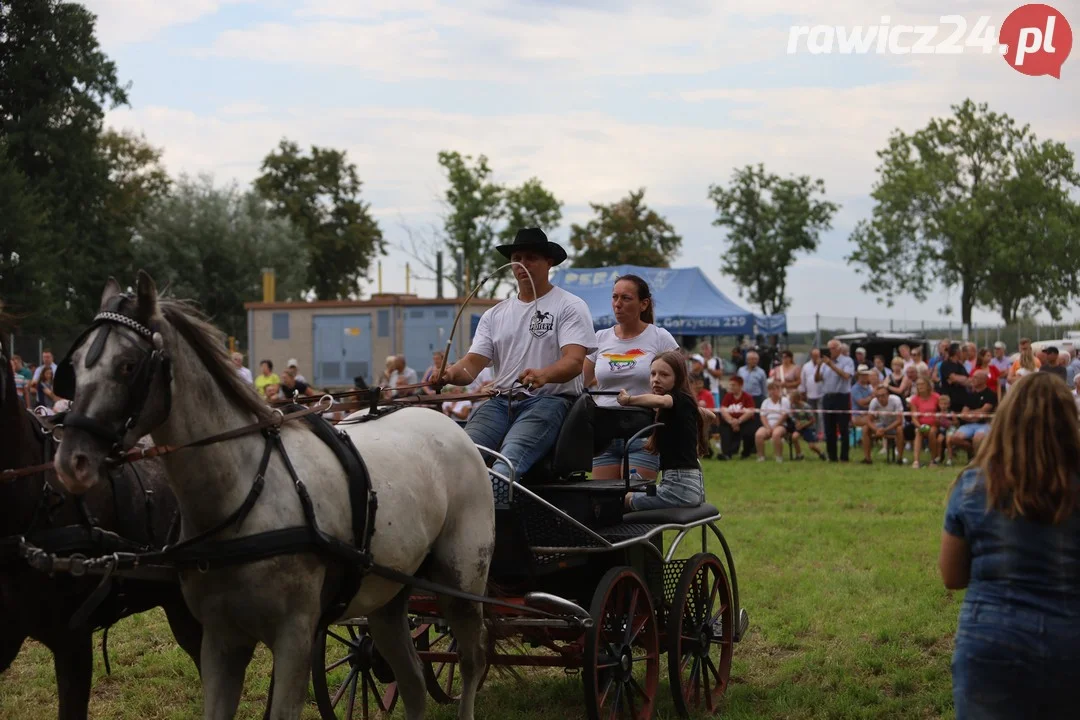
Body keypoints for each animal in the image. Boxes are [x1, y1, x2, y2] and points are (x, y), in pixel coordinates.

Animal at [56, 272, 494, 720]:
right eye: (74, 367)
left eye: (128, 365)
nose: (71, 460)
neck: (244, 494)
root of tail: (449, 425)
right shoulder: (221, 638)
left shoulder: (295, 636)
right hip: (387, 595)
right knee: (412, 680)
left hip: (460, 580)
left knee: (473, 658)